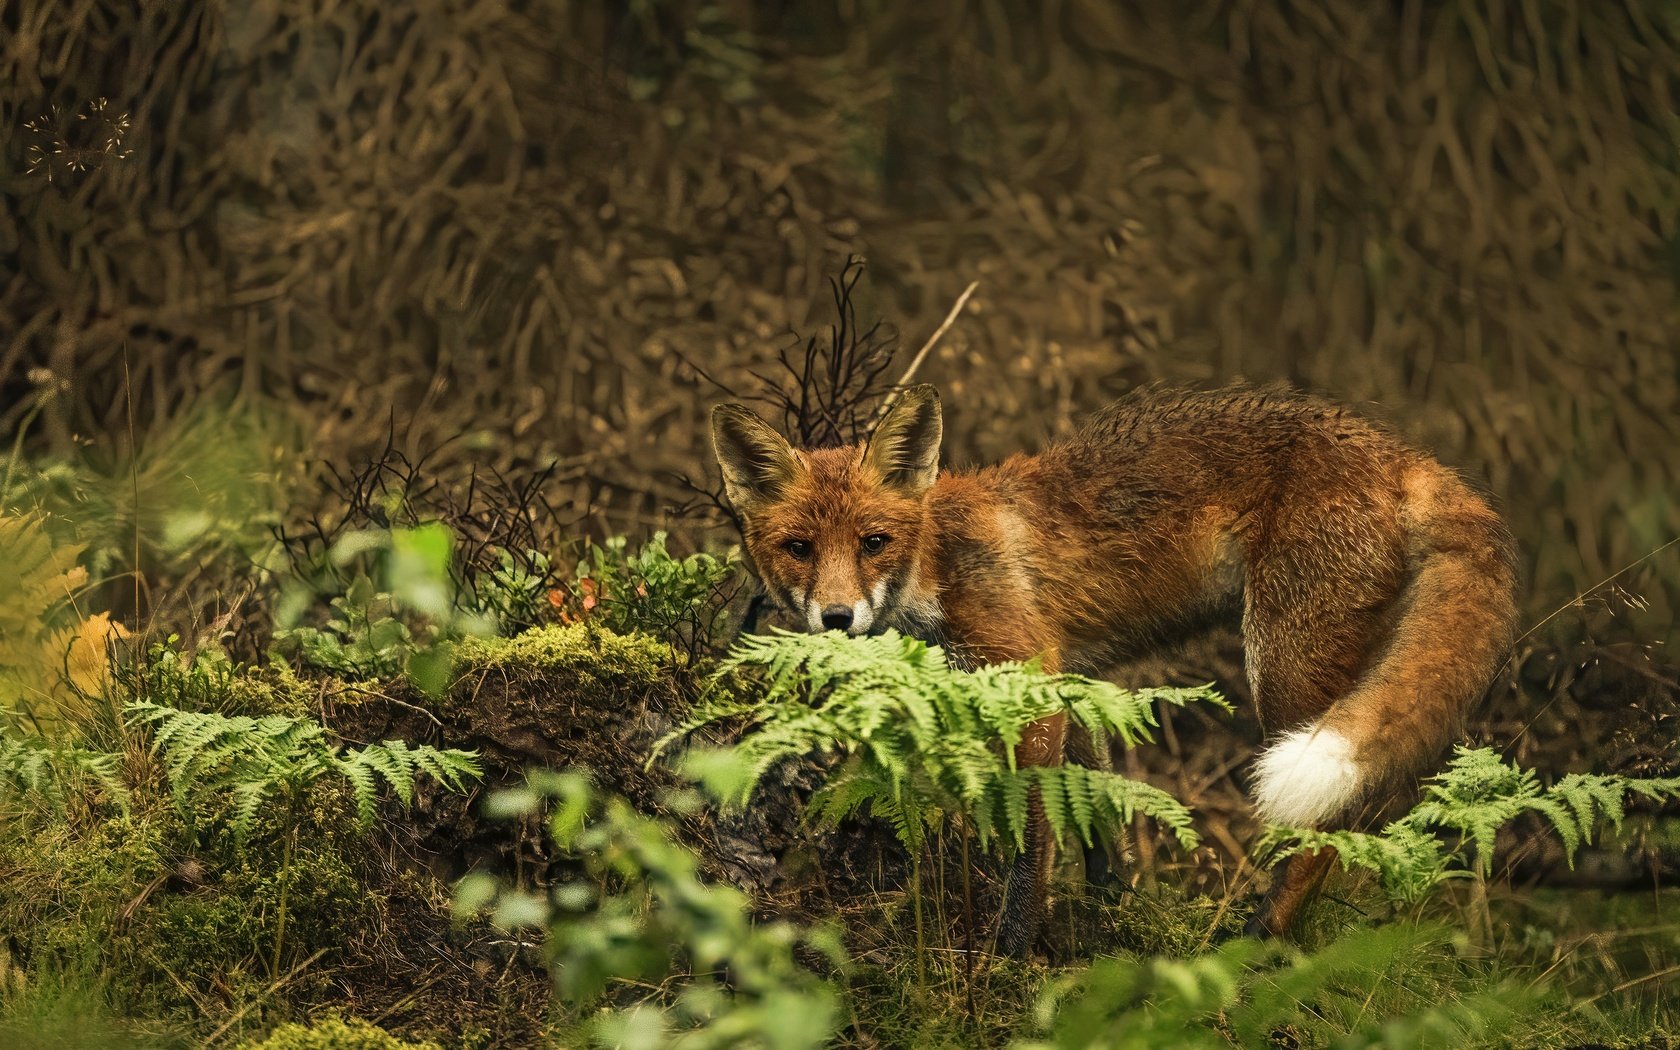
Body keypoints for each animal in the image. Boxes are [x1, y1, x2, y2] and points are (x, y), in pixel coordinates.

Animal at [708, 383, 1525, 947]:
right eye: (799, 549)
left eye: (873, 542)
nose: (836, 618)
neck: (937, 563)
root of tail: (1403, 454)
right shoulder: (1074, 683)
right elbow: (1098, 813)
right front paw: (1112, 911)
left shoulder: (1030, 682)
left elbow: (1031, 841)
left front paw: (1012, 952)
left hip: (1284, 668)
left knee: (1334, 827)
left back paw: (1259, 942)